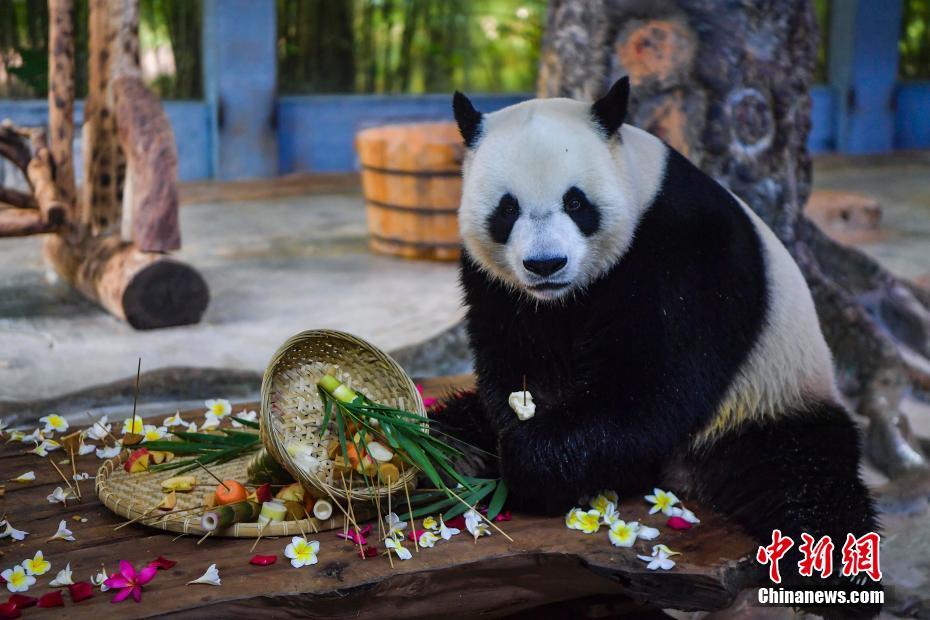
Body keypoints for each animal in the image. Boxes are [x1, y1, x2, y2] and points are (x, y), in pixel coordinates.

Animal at [431, 77, 880, 599]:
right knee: (445, 422)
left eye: (576, 203)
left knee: (805, 477)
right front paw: (509, 442)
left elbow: (653, 382)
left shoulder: (683, 249)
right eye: (507, 208)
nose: (546, 264)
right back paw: (451, 451)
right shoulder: (499, 286)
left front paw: (528, 460)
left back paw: (839, 574)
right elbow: (518, 364)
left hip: (770, 392)